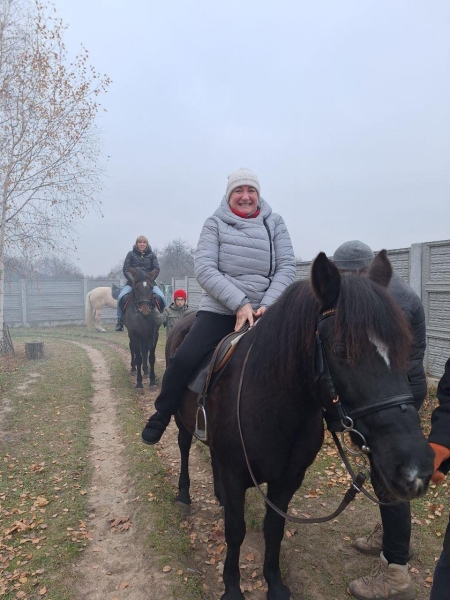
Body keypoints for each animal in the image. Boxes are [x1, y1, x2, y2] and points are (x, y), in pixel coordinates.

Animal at [168, 252, 432, 600]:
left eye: (404, 347)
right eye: (341, 351)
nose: (415, 468)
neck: (271, 406)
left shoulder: (287, 480)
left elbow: (273, 529)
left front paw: (275, 583)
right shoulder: (235, 473)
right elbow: (236, 531)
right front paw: (232, 587)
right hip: (181, 421)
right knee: (184, 447)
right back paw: (184, 497)